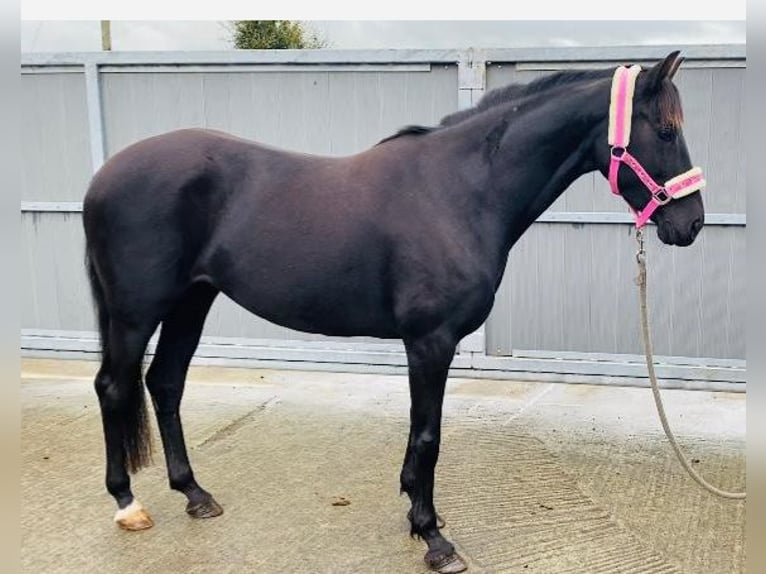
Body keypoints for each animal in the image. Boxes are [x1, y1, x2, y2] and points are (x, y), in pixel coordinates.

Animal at [84, 51, 708, 572]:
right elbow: (428, 435)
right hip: (137, 311)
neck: (459, 191)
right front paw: (433, 537)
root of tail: (105, 176)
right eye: (666, 130)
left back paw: (195, 494)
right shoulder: (430, 340)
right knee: (114, 387)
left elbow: (420, 435)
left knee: (165, 384)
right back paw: (127, 503)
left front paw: (419, 516)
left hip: (191, 301)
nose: (692, 224)